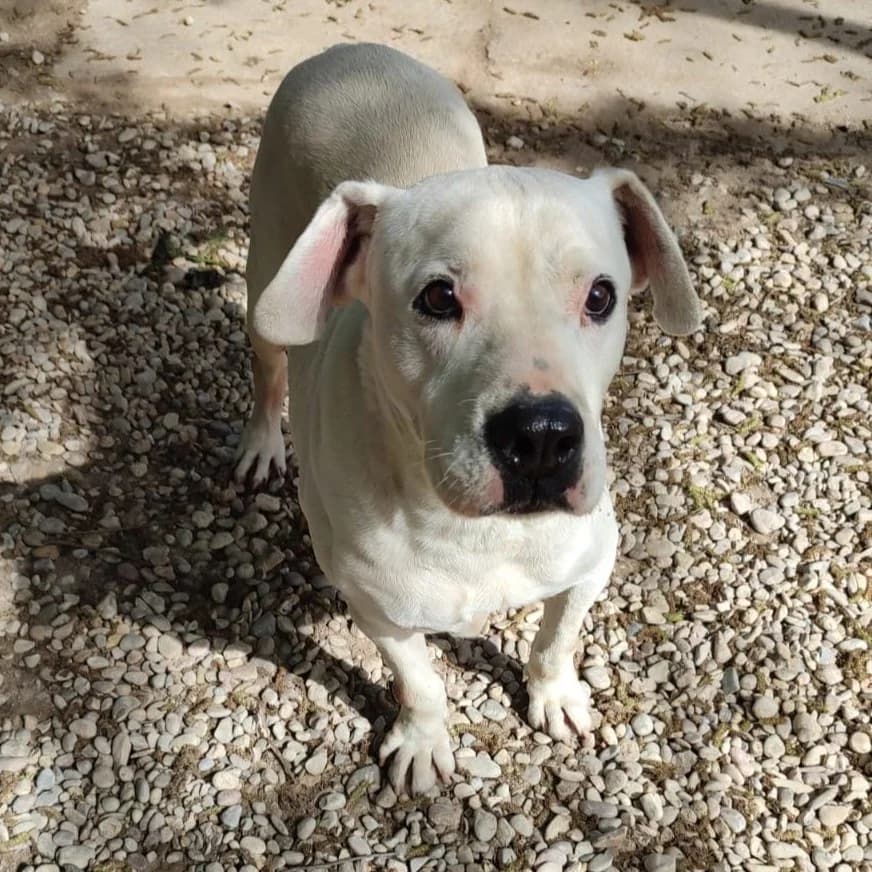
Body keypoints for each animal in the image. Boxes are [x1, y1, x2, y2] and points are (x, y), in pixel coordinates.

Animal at [236, 42, 702, 794]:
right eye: (437, 297)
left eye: (601, 296)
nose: (541, 437)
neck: (475, 532)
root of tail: (349, 50)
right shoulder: (372, 601)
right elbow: (419, 679)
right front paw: (423, 739)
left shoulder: (593, 560)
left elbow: (556, 638)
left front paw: (554, 695)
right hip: (267, 288)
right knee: (268, 367)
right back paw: (260, 443)